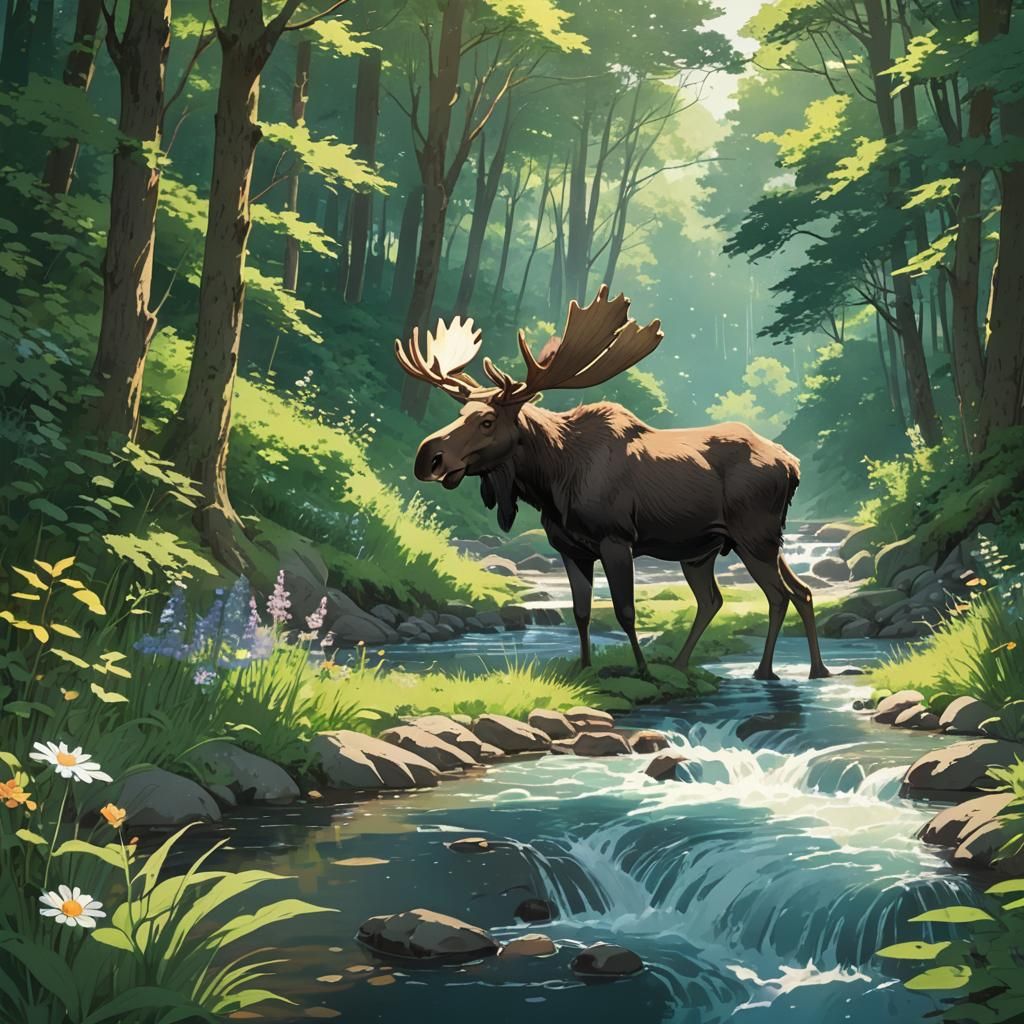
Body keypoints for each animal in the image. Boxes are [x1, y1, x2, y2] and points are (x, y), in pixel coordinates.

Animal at [395, 285, 830, 682]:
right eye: (460, 413)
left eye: (487, 421)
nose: (427, 457)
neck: (552, 482)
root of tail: (792, 466)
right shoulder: (570, 548)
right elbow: (581, 613)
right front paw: (585, 667)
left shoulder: (616, 539)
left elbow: (625, 611)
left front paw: (642, 671)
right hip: (713, 549)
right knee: (748, 596)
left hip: (754, 537)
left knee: (779, 595)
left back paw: (766, 671)